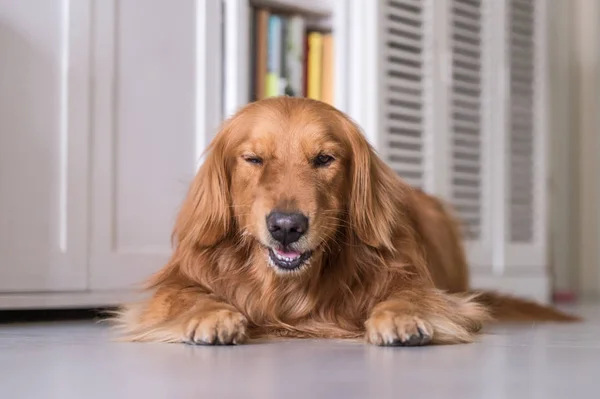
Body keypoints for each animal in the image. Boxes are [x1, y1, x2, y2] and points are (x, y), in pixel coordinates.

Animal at [115, 97, 580, 346]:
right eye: (253, 159)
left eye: (324, 159)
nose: (287, 226)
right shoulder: (177, 283)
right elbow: (182, 296)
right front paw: (210, 314)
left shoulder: (426, 285)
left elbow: (412, 294)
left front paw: (400, 317)